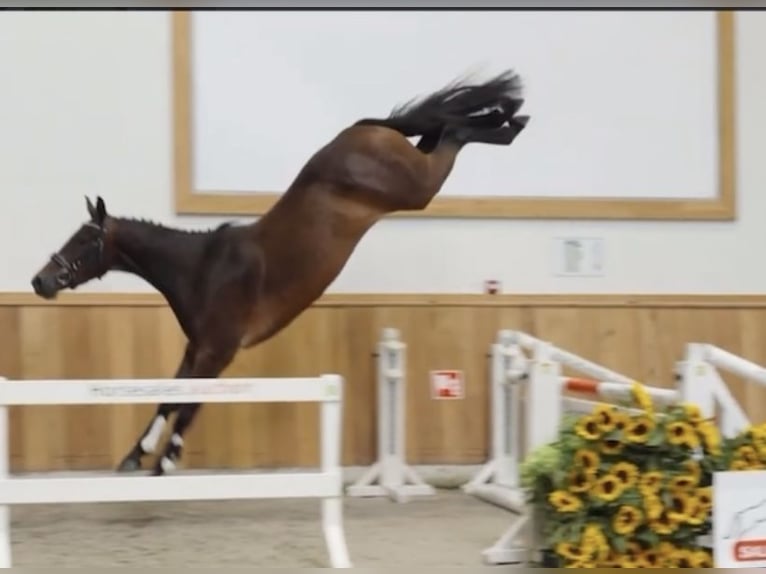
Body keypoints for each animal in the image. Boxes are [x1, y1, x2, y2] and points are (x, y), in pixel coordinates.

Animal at [30, 69, 530, 476]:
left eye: (82, 241)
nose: (41, 281)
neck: (201, 267)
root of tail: (362, 131)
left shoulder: (218, 352)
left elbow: (187, 404)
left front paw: (164, 460)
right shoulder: (197, 349)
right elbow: (170, 395)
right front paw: (138, 454)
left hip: (418, 187)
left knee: (453, 132)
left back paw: (508, 121)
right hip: (416, 173)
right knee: (441, 131)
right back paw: (508, 117)